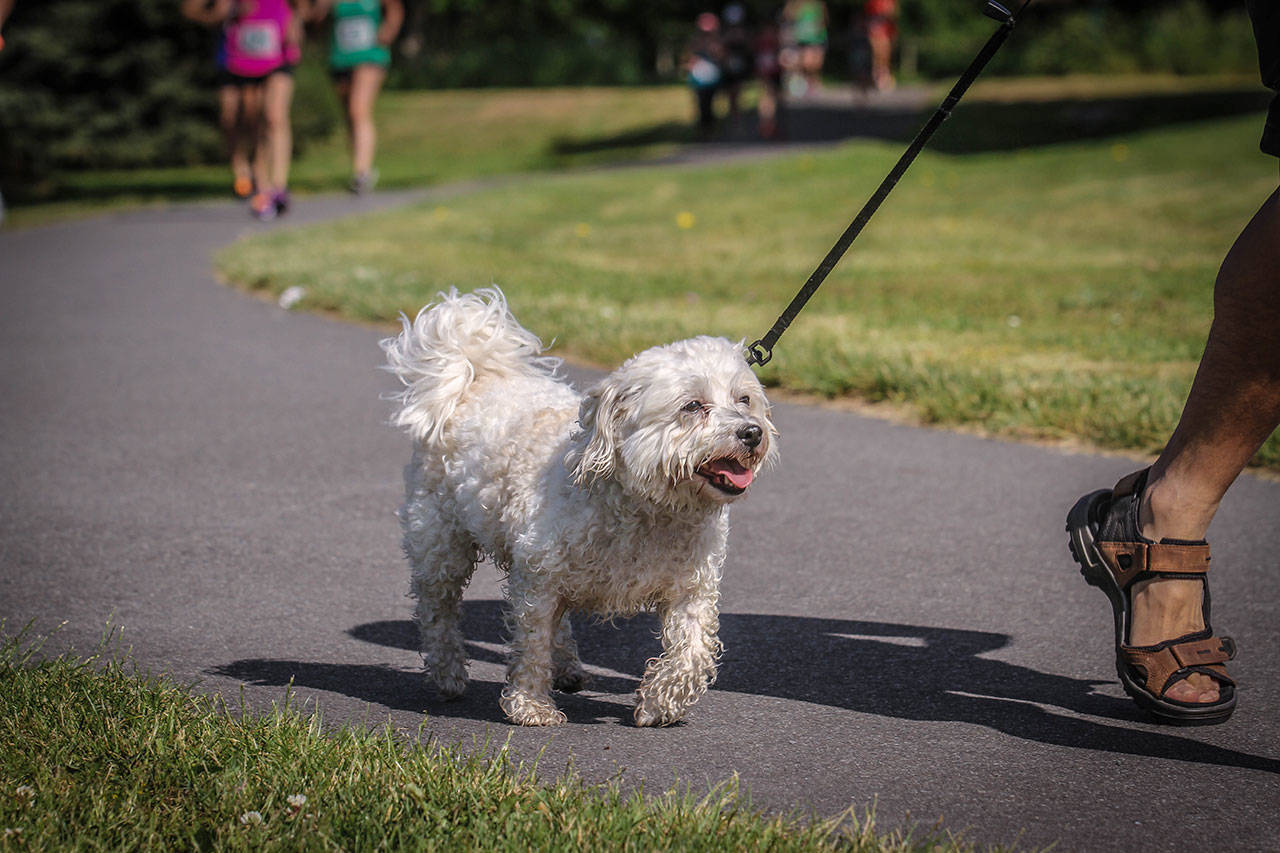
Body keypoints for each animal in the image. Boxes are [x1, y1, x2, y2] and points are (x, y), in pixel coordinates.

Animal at [378, 285, 778, 722]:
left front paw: (660, 703)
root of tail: (474, 380)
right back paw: (448, 672)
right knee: (439, 609)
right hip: (440, 542)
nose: (752, 433)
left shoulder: (692, 587)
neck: (650, 506)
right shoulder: (538, 577)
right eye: (692, 406)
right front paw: (531, 706)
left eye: (744, 400)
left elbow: (692, 649)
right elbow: (532, 642)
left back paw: (567, 667)